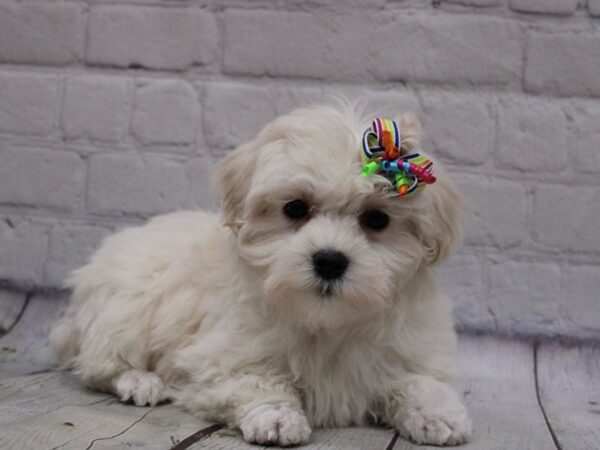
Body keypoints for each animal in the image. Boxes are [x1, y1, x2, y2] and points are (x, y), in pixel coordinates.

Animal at [51, 103, 472, 446]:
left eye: (377, 219)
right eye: (295, 208)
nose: (329, 261)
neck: (326, 321)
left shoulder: (409, 347)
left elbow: (420, 382)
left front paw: (439, 416)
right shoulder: (222, 357)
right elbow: (256, 381)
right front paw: (278, 418)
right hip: (124, 306)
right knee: (99, 364)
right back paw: (140, 381)